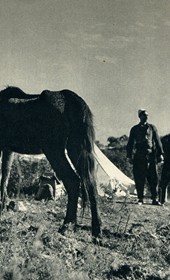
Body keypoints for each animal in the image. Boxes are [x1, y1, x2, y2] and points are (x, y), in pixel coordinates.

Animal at [0, 85, 101, 236]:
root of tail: (71, 98)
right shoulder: (8, 149)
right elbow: (4, 177)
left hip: (54, 150)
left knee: (72, 181)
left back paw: (66, 225)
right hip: (76, 149)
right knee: (90, 184)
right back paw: (96, 230)